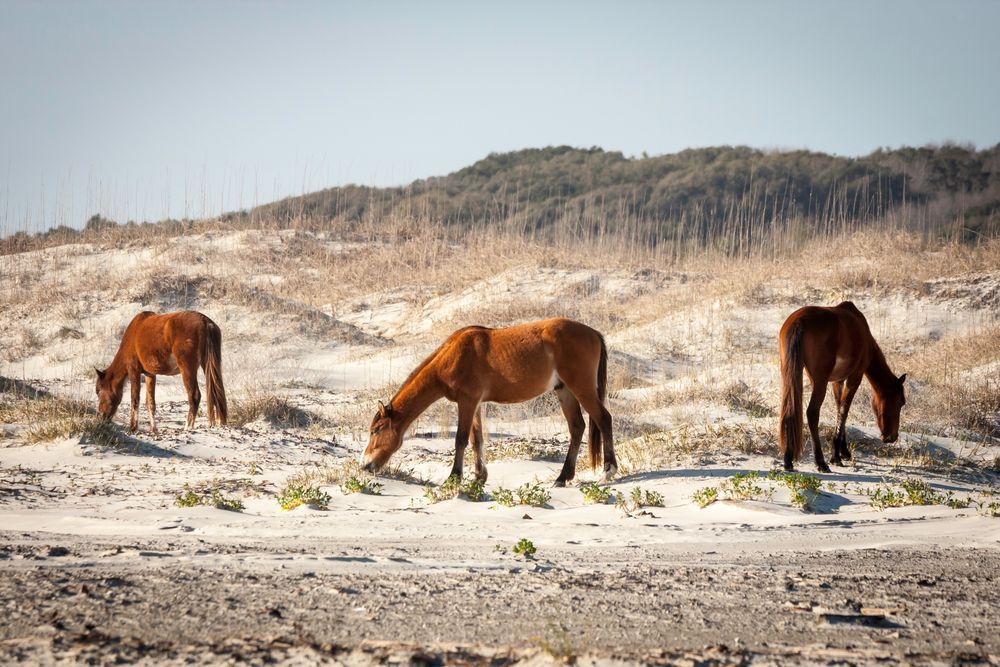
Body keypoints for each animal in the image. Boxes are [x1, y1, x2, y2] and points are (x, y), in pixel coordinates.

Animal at [95, 310, 228, 434]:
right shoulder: (150, 374)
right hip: (208, 365)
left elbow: (135, 399)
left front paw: (133, 427)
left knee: (194, 396)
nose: (101, 416)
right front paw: (153, 429)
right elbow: (150, 403)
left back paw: (188, 427)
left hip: (187, 368)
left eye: (98, 391)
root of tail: (205, 322)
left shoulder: (134, 370)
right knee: (217, 393)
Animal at [361, 317, 616, 486]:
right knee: (577, 427)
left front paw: (454, 478)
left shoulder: (467, 401)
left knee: (604, 419)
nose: (365, 465)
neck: (453, 356)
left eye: (376, 430)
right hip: (565, 391)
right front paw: (479, 477)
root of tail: (593, 333)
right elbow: (477, 440)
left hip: (581, 388)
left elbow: (461, 440)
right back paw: (563, 478)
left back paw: (608, 470)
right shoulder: (475, 404)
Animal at [778, 301, 906, 473]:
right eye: (900, 403)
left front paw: (843, 451)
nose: (892, 437)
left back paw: (788, 460)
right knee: (812, 413)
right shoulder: (854, 377)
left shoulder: (837, 381)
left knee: (789, 409)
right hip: (819, 382)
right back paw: (820, 462)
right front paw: (836, 456)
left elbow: (839, 409)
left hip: (790, 375)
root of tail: (799, 322)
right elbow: (845, 410)